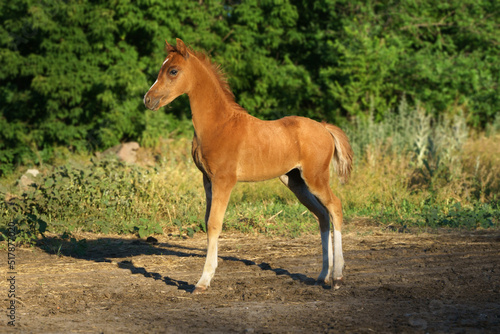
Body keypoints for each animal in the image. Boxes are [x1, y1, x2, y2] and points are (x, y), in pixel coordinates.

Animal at [145, 39, 354, 294]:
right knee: (322, 216)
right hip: (295, 181)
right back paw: (322, 275)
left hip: (316, 178)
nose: (148, 99)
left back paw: (337, 277)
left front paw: (203, 281)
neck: (219, 125)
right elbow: (208, 222)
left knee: (335, 208)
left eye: (173, 71)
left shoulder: (224, 180)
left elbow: (215, 224)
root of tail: (324, 127)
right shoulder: (207, 180)